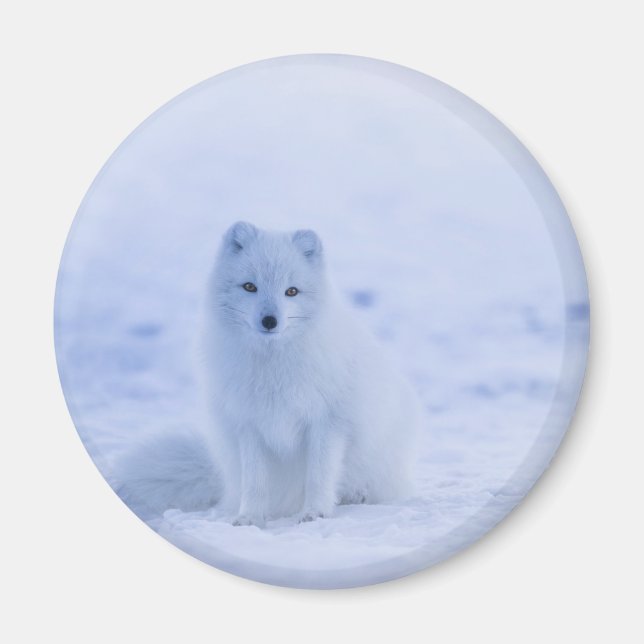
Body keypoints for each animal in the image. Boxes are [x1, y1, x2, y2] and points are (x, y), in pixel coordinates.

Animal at [116, 222, 420, 526]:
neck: (273, 367)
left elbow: (319, 475)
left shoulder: (327, 422)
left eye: (291, 291)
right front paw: (249, 518)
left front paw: (315, 513)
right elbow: (255, 482)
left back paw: (357, 495)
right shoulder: (249, 425)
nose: (270, 321)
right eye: (250, 286)